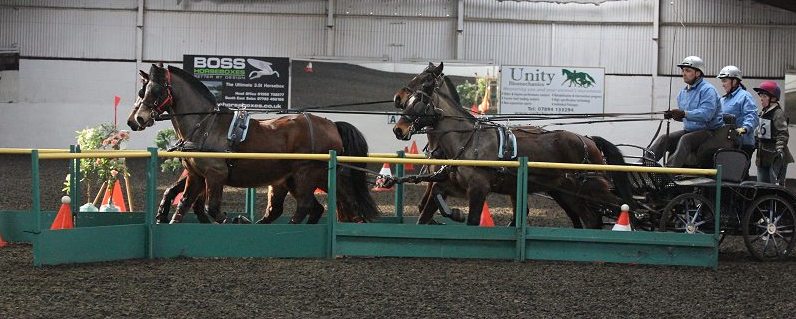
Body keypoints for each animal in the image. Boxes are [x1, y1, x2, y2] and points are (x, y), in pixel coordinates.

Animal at [127, 64, 380, 225]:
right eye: (141, 91)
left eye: (156, 90)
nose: (136, 120)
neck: (205, 125)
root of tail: (331, 124)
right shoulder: (196, 175)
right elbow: (183, 203)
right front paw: (165, 218)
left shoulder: (215, 175)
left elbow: (212, 208)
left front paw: (237, 220)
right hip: (301, 179)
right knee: (329, 204)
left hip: (306, 175)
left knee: (309, 205)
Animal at [388, 62, 632, 228]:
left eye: (425, 84)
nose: (398, 128)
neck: (467, 141)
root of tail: (588, 140)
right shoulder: (448, 183)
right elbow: (425, 211)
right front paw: (450, 215)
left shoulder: (478, 189)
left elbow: (472, 220)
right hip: (568, 193)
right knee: (590, 218)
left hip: (589, 188)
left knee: (622, 207)